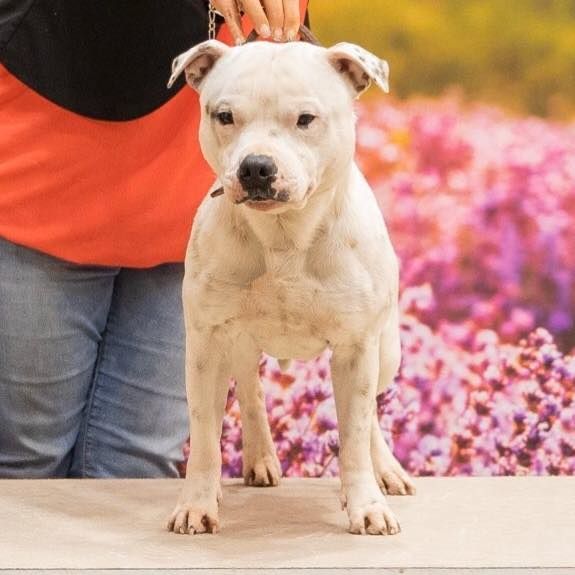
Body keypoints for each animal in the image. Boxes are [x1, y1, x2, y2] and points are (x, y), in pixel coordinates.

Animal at [166, 35, 415, 536]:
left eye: (305, 119)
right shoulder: (206, 344)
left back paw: (386, 470)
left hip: (386, 351)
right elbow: (203, 434)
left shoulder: (357, 347)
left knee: (372, 418)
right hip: (235, 343)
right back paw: (259, 457)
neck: (284, 236)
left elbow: (355, 433)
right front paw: (198, 503)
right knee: (249, 388)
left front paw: (366, 505)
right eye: (224, 116)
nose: (256, 167)